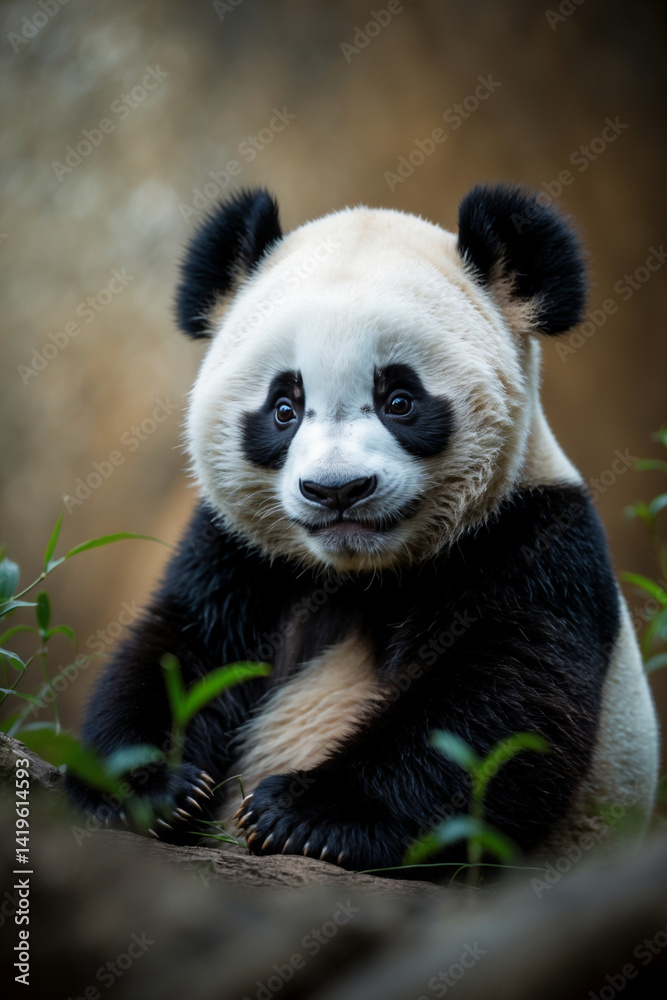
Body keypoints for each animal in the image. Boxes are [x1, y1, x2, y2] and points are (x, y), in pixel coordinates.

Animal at [66, 183, 659, 874]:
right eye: (284, 408)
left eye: (399, 399)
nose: (337, 490)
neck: (364, 570)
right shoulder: (242, 554)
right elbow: (183, 644)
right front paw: (152, 788)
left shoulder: (536, 539)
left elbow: (504, 706)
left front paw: (305, 815)